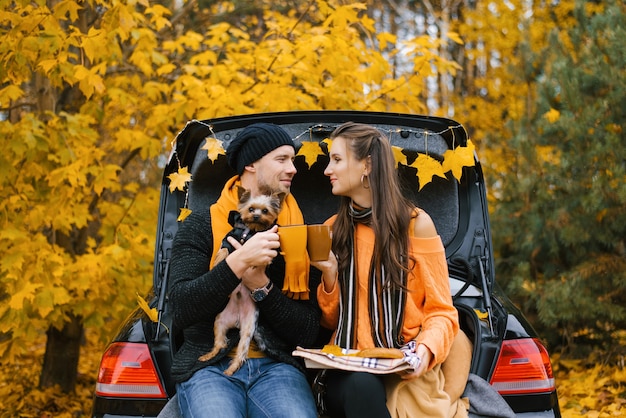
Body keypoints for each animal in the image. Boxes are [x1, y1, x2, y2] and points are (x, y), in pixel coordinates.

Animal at [199, 187, 284, 376]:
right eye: (251, 209)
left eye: (265, 211)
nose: (256, 216)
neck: (250, 231)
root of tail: (237, 320)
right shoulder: (229, 238)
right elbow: (223, 250)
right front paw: (217, 262)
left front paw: (259, 262)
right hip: (219, 321)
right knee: (220, 344)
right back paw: (209, 356)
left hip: (248, 328)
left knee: (240, 353)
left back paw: (230, 370)